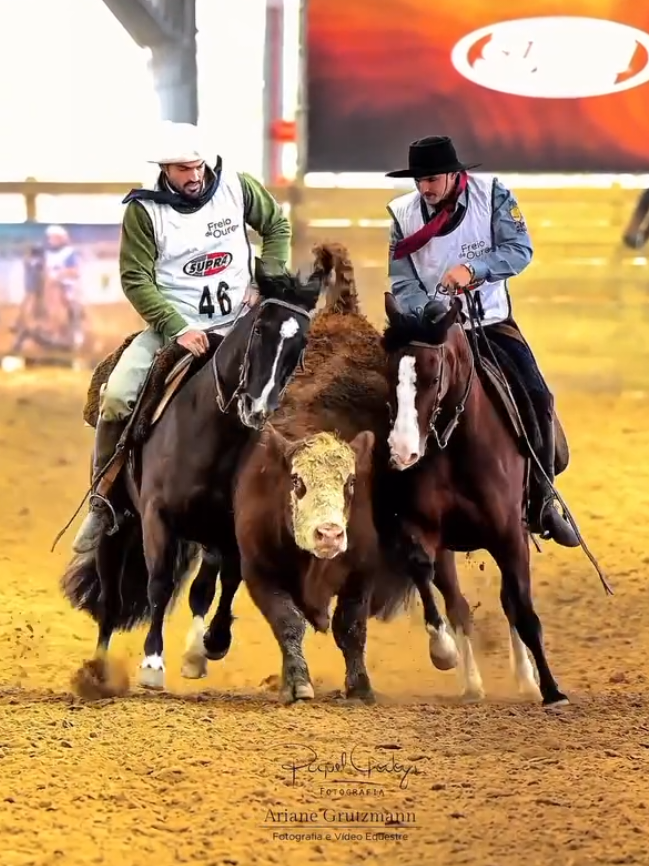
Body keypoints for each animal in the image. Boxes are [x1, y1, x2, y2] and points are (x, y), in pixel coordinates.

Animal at [60, 261, 328, 695]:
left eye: (300, 341)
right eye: (259, 329)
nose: (256, 407)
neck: (209, 431)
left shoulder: (228, 529)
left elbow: (227, 582)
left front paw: (211, 643)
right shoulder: (158, 518)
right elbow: (159, 584)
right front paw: (152, 664)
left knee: (202, 586)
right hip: (120, 524)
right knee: (111, 597)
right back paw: (98, 672)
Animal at [382, 292, 569, 707]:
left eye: (434, 377)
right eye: (388, 375)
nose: (403, 452)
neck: (457, 446)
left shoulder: (509, 535)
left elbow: (523, 611)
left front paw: (551, 690)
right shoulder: (424, 531)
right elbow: (429, 578)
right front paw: (443, 651)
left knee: (511, 602)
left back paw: (527, 679)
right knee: (459, 604)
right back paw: (471, 684)